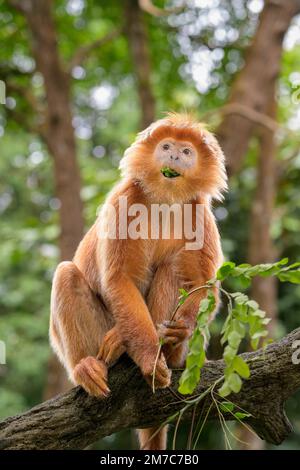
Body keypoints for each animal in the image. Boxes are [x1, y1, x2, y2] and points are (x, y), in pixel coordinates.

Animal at [49, 112, 227, 450]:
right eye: (167, 146)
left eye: (186, 152)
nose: (174, 156)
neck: (164, 200)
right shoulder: (126, 199)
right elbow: (119, 279)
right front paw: (147, 360)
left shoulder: (199, 211)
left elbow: (205, 283)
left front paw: (180, 329)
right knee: (67, 274)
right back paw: (89, 366)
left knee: (172, 268)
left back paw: (165, 345)